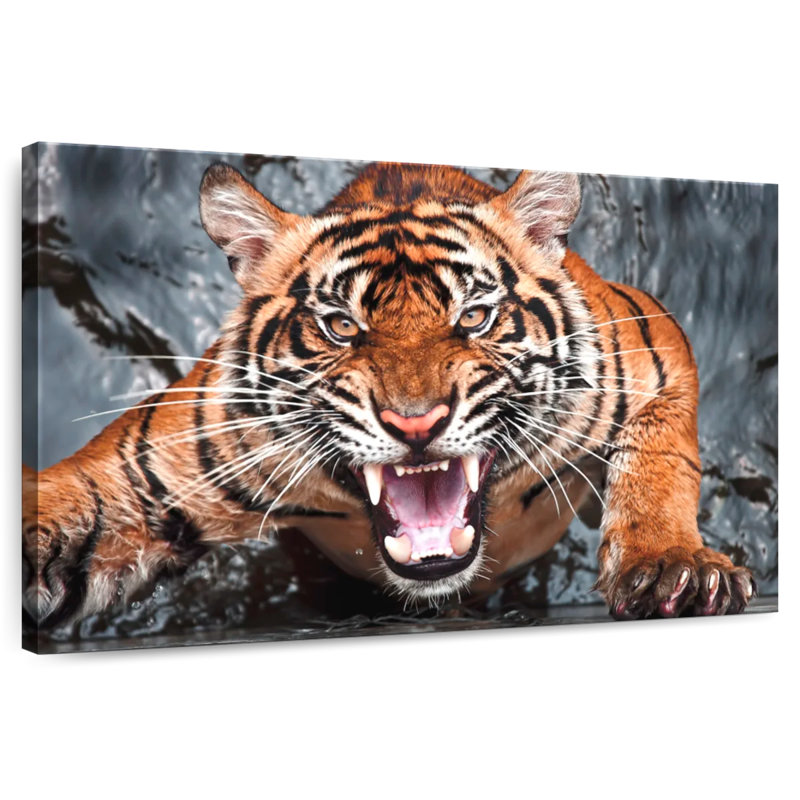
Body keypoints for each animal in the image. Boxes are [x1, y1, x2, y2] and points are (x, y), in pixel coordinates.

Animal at [22, 160, 756, 632]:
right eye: (342, 326)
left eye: (473, 317)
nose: (416, 422)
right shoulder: (143, 475)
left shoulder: (651, 347)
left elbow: (661, 461)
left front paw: (672, 566)